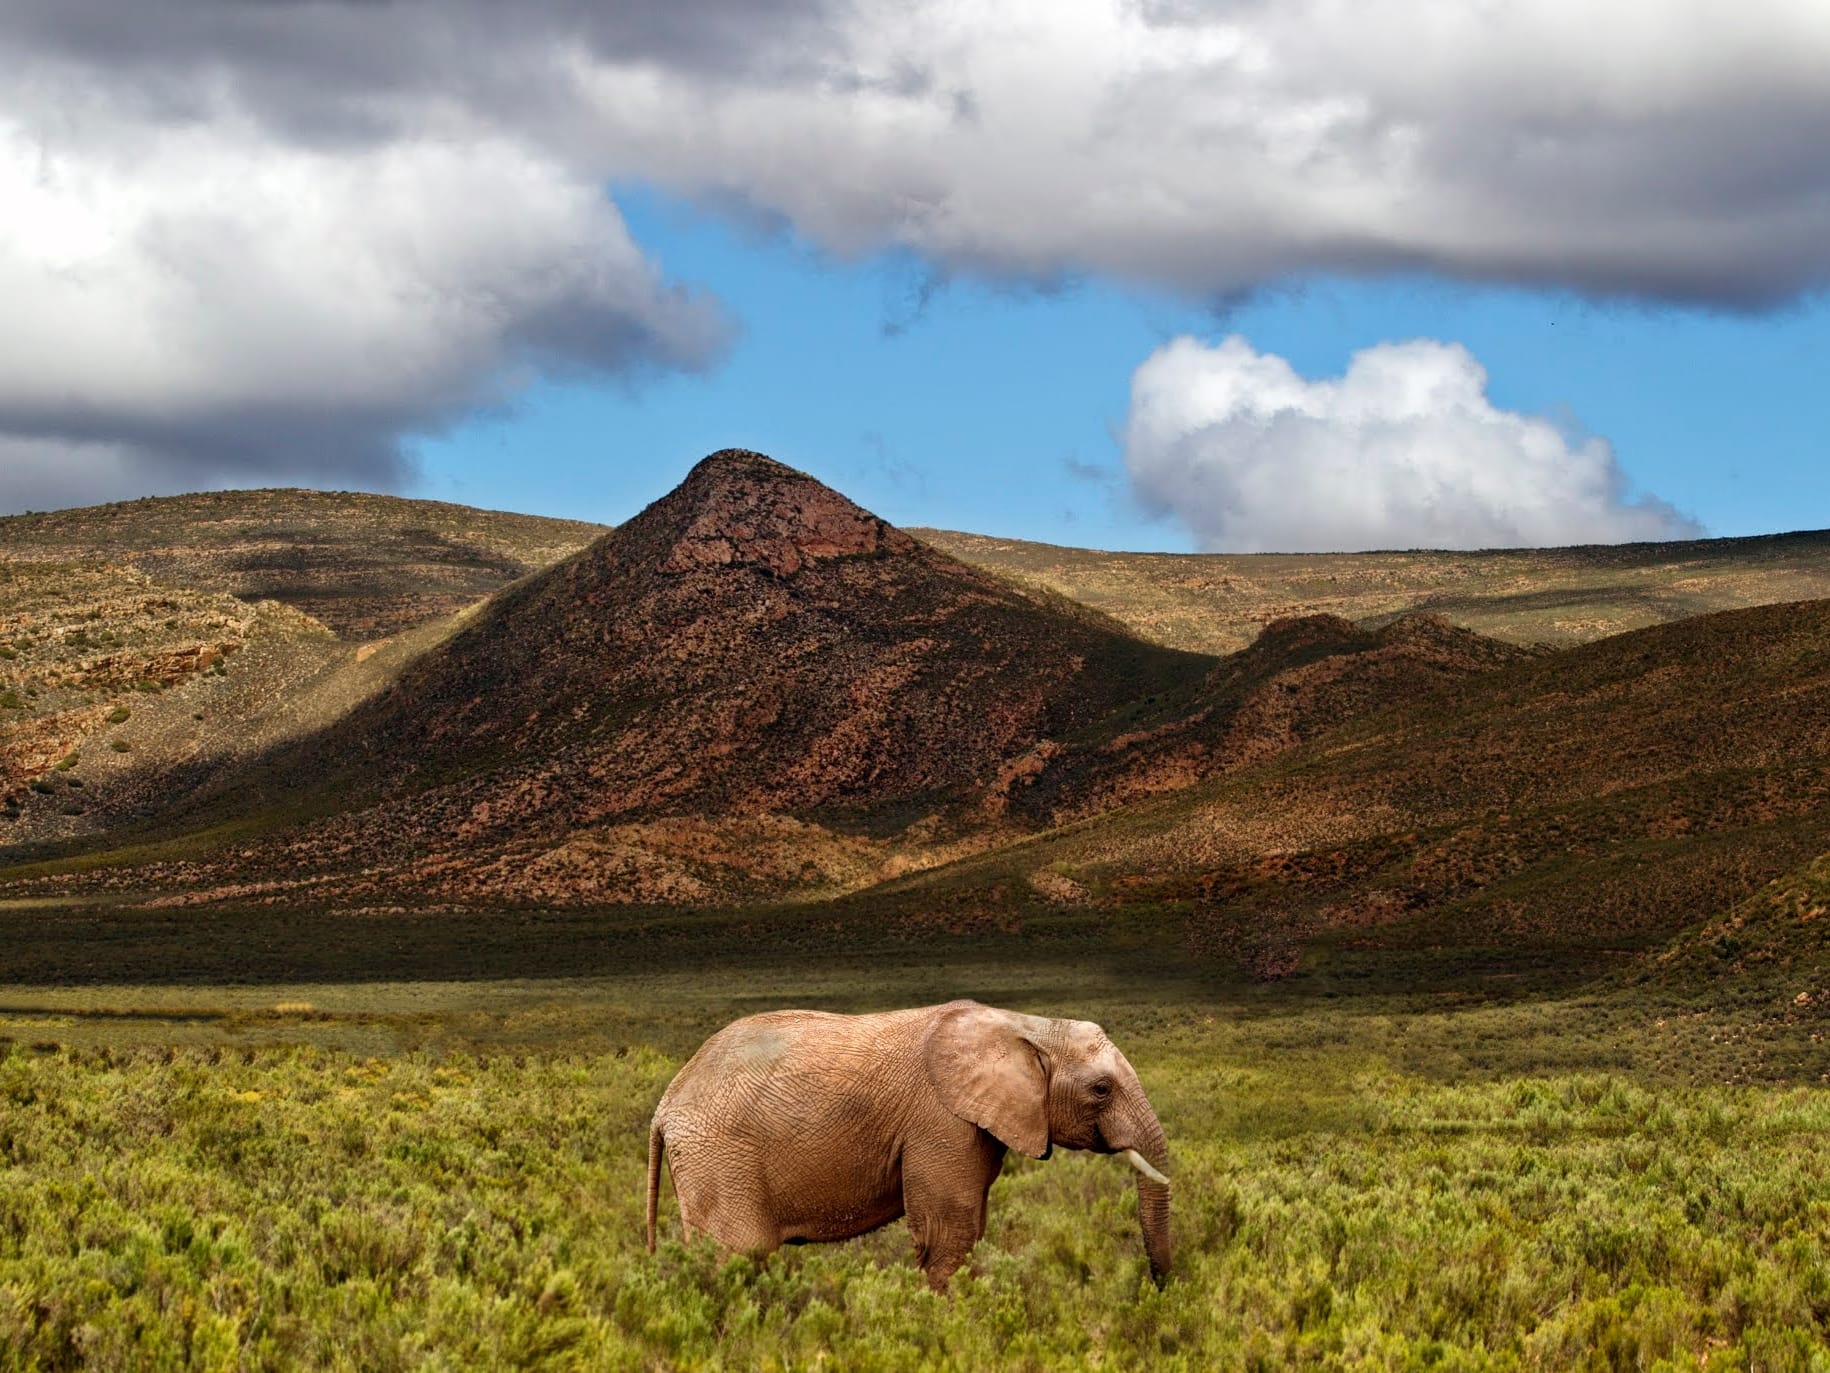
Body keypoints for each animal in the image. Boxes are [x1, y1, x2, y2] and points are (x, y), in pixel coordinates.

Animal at [640, 1003, 1171, 1288]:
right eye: (1101, 1090)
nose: (1161, 1286)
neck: (1024, 1025)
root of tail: (666, 1104)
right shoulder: (941, 1123)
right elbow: (948, 1236)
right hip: (718, 1157)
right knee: (736, 1256)